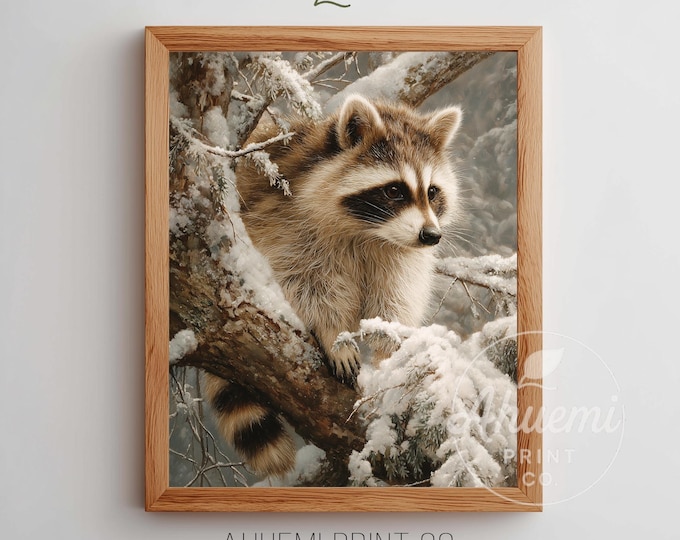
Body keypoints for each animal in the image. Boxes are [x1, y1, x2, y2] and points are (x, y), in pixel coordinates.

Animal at [205, 95, 462, 478]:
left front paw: (390, 355)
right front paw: (331, 333)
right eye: (394, 190)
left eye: (432, 192)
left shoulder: (398, 256)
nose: (431, 236)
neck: (370, 232)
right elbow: (304, 282)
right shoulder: (286, 222)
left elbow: (394, 300)